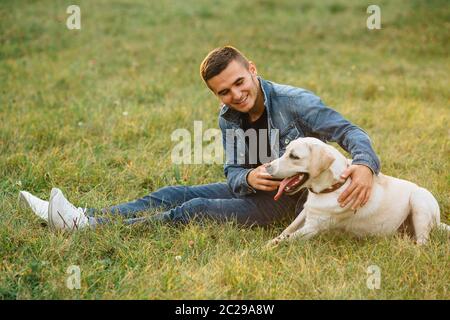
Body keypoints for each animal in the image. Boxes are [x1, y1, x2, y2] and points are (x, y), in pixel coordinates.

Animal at [266, 137, 448, 245]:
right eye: (286, 151)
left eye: (294, 156)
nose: (267, 167)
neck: (334, 186)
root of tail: (438, 221)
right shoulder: (306, 212)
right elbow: (286, 231)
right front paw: (271, 241)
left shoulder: (313, 227)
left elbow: (287, 239)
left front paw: (264, 250)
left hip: (419, 200)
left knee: (423, 243)